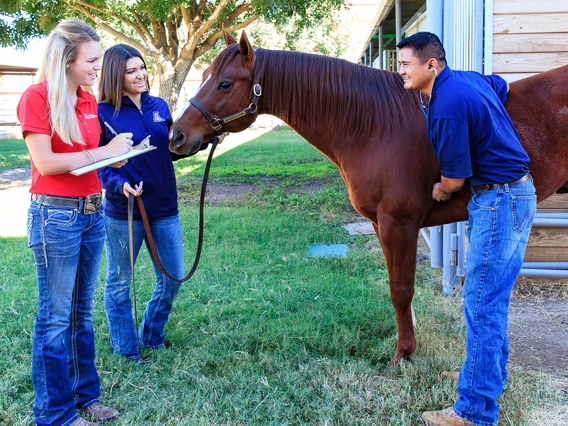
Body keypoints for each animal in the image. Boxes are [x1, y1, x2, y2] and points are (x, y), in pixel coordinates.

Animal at [171, 30, 568, 364]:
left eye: (224, 83)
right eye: (203, 75)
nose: (177, 136)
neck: (376, 125)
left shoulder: (400, 223)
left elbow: (401, 289)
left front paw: (402, 355)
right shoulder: (381, 224)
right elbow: (398, 289)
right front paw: (407, 344)